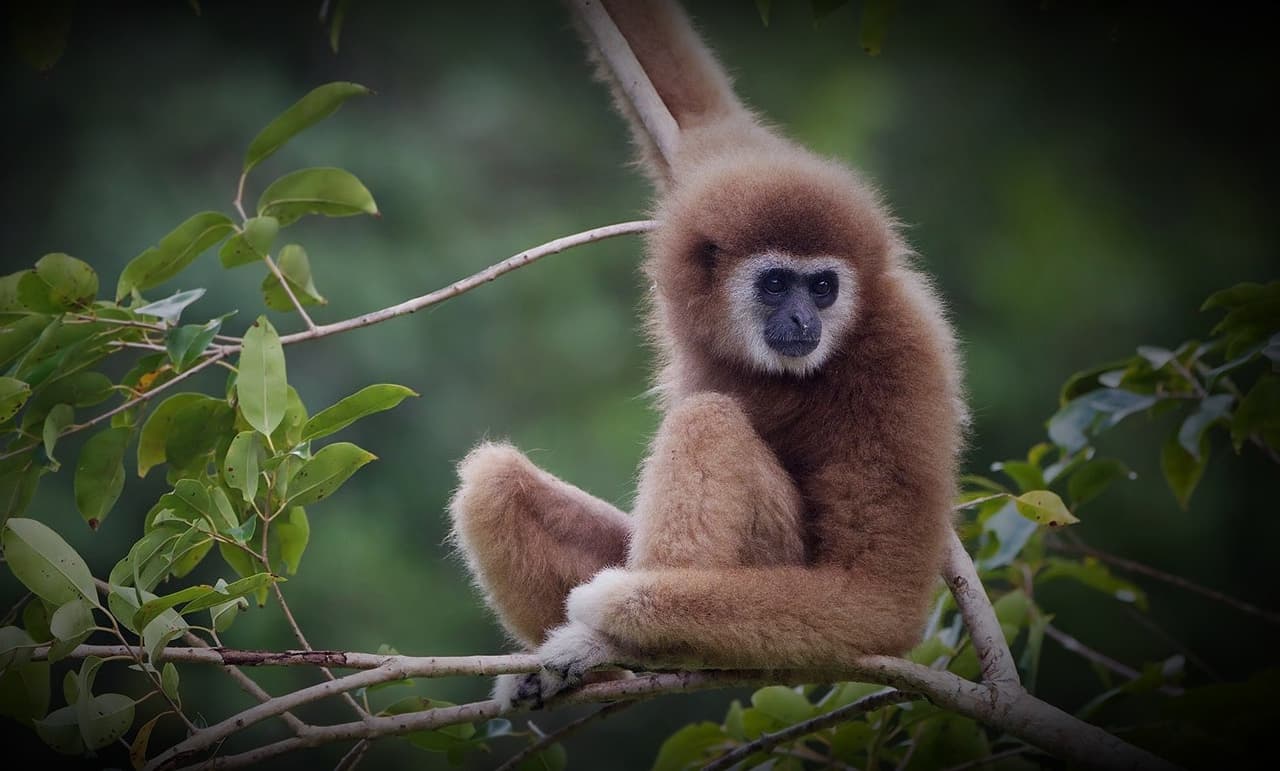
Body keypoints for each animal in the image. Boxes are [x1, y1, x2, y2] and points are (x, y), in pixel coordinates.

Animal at [447, 0, 966, 708]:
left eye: (823, 287)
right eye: (775, 283)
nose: (804, 317)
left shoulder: (902, 360)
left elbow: (876, 601)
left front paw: (617, 614)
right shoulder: (713, 163)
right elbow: (699, 109)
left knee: (707, 420)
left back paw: (614, 645)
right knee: (493, 479)